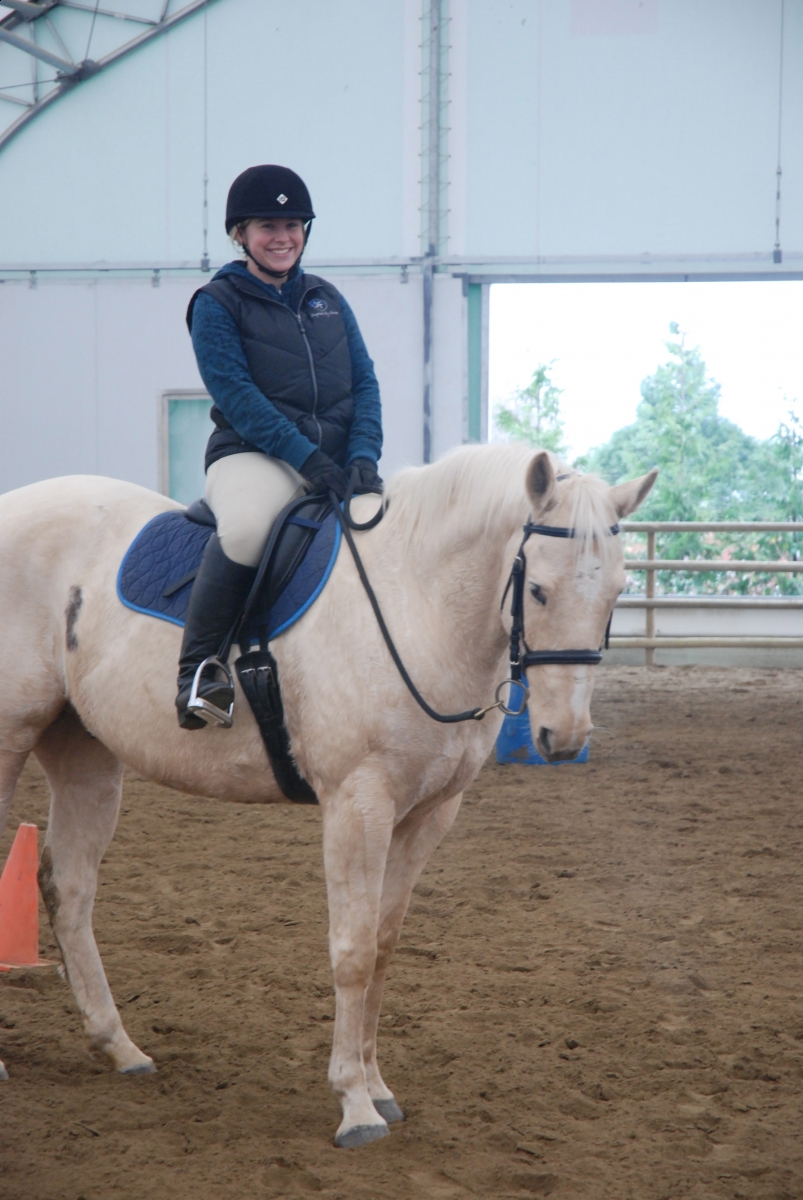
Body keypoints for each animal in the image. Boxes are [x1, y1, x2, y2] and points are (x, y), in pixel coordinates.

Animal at [0, 444, 656, 1147]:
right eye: (537, 590)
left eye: (618, 591)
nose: (565, 739)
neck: (417, 601)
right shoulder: (357, 804)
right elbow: (353, 950)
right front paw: (355, 1106)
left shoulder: (426, 814)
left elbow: (385, 944)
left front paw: (379, 1088)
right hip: (10, 739)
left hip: (84, 750)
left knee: (70, 885)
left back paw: (119, 1047)